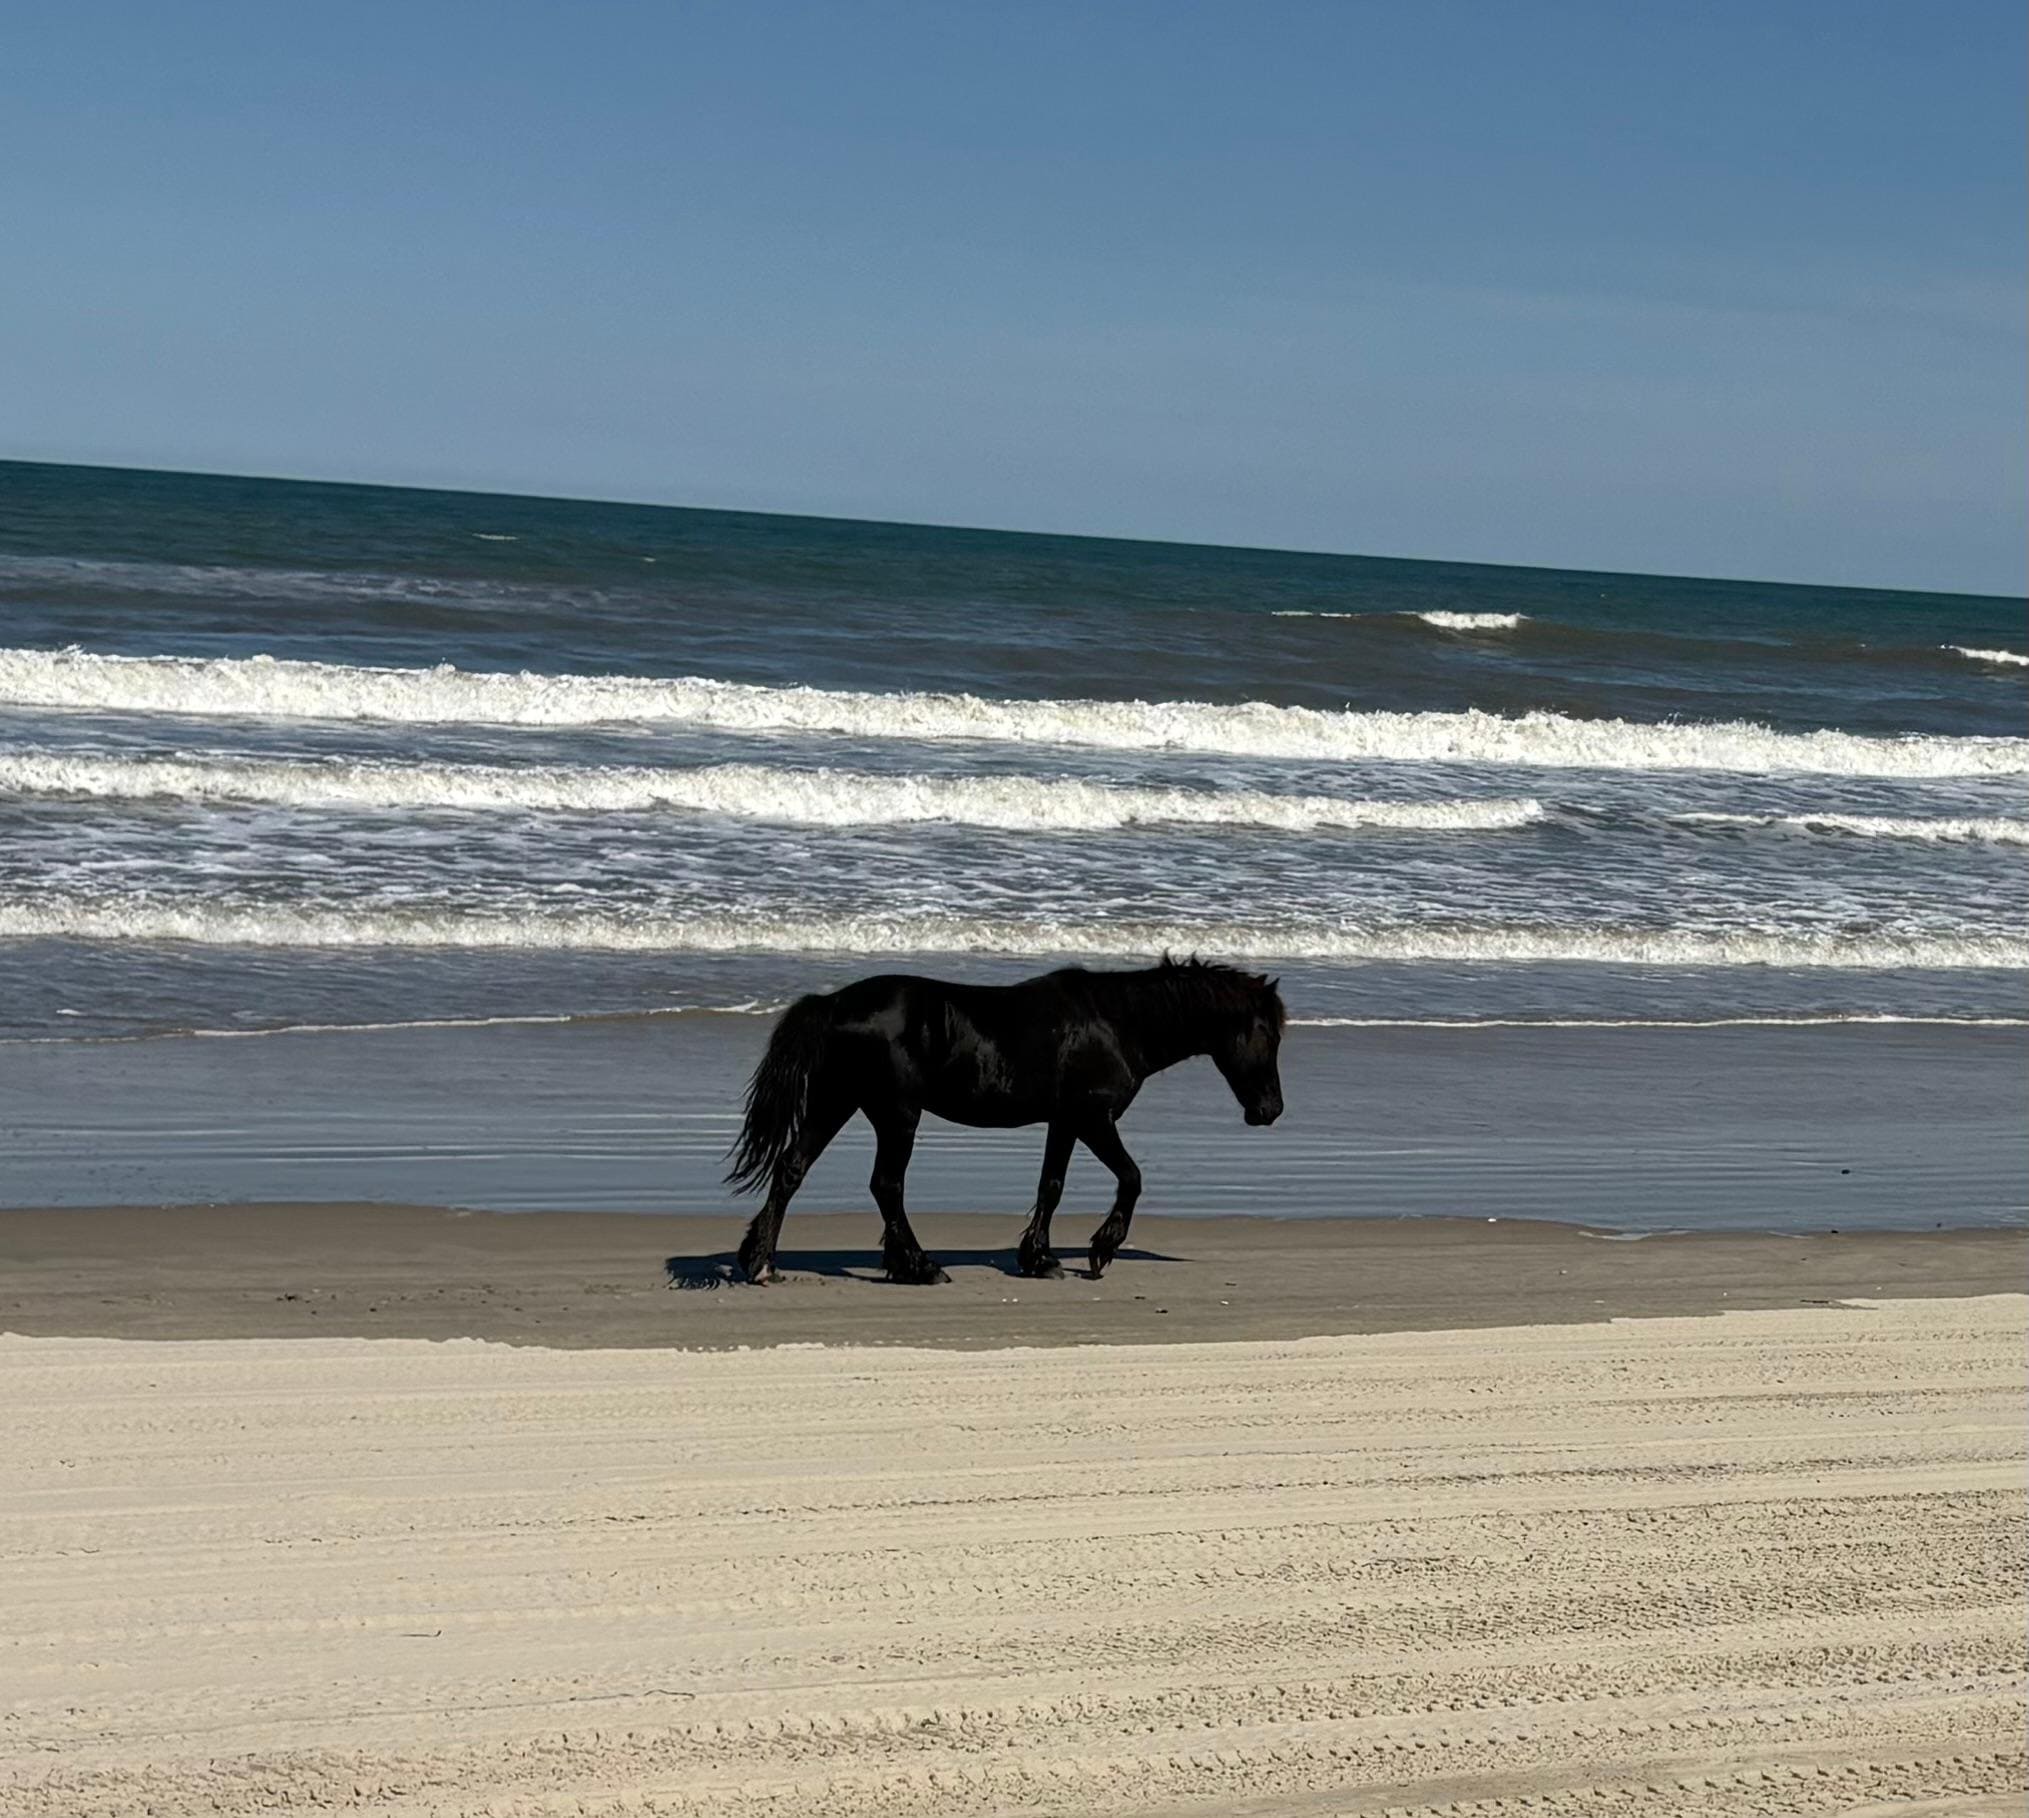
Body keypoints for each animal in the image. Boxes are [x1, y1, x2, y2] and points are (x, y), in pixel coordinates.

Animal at [724, 956, 1285, 1284]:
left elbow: (1050, 1187)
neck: (1117, 1022)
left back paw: (761, 1262)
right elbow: (1131, 1177)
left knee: (792, 1169)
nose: (1270, 1111)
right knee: (886, 1185)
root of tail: (833, 1003)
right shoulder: (1093, 1118)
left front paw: (1039, 1258)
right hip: (896, 1113)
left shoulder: (1064, 1123)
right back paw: (919, 1266)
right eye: (1268, 1034)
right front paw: (1100, 1250)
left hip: (836, 1102)